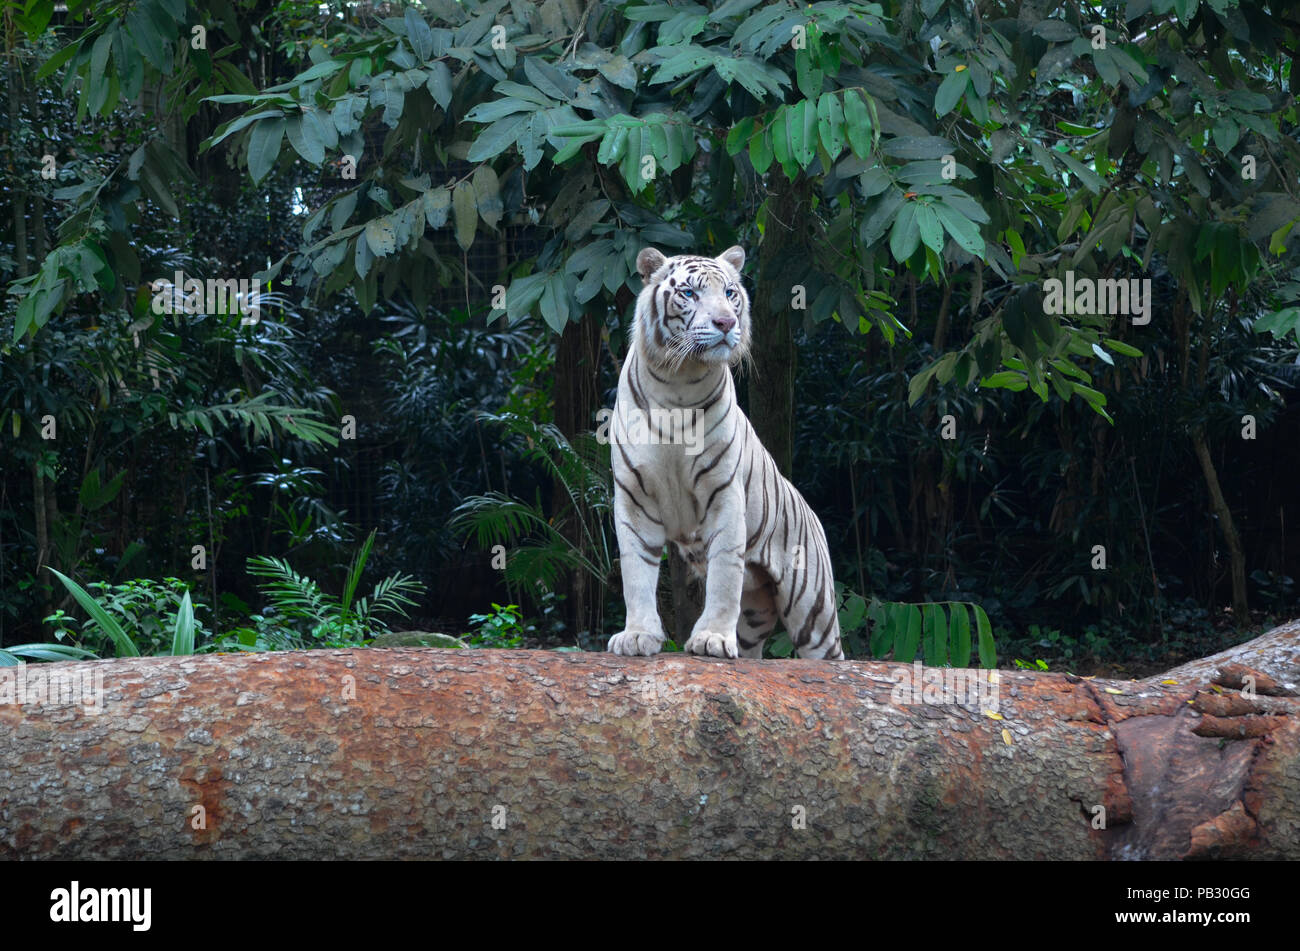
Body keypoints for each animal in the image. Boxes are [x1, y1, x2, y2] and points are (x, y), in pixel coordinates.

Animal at [600, 245, 842, 659]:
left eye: (730, 293)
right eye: (689, 293)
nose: (726, 322)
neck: (678, 382)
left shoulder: (723, 493)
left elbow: (724, 575)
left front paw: (711, 637)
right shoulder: (634, 497)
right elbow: (636, 572)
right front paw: (637, 635)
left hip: (813, 610)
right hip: (755, 614)